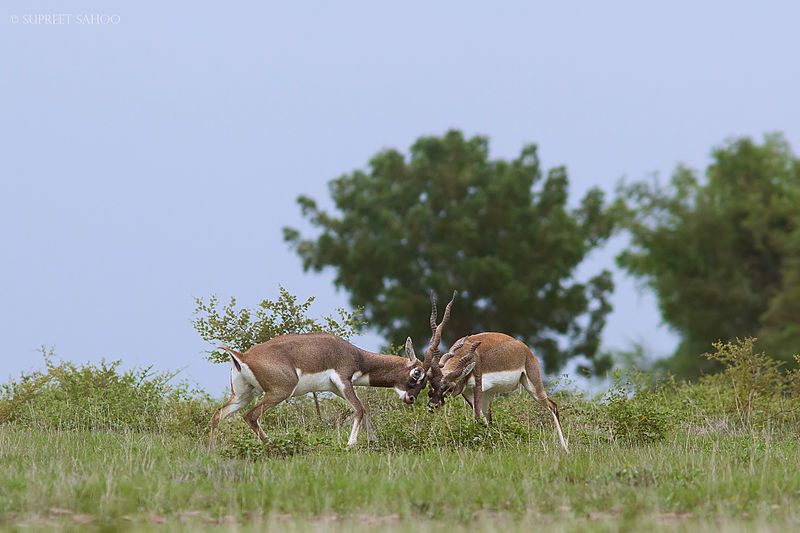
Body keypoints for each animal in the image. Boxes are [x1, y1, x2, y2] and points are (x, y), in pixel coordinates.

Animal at [424, 332, 568, 448]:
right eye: (431, 385)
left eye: (450, 388)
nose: (433, 405)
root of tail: (524, 348)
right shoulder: (468, 393)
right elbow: (482, 419)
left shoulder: (477, 385)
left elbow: (477, 417)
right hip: (488, 395)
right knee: (488, 419)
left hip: (534, 387)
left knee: (553, 406)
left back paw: (565, 449)